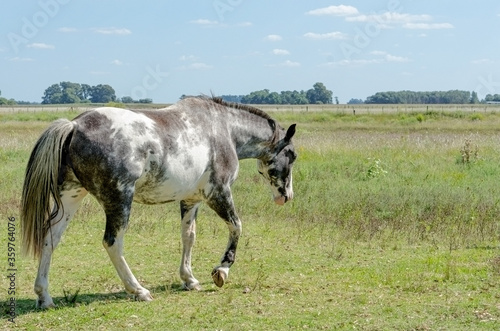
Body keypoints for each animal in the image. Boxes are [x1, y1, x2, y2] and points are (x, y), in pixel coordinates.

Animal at [20, 97, 296, 310]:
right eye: (292, 155)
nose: (286, 196)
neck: (223, 129)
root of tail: (75, 125)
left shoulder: (191, 199)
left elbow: (189, 237)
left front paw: (189, 279)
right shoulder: (218, 193)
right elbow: (237, 226)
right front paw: (222, 270)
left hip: (71, 196)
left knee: (51, 237)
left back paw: (44, 296)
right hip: (119, 200)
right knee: (113, 243)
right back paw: (138, 290)